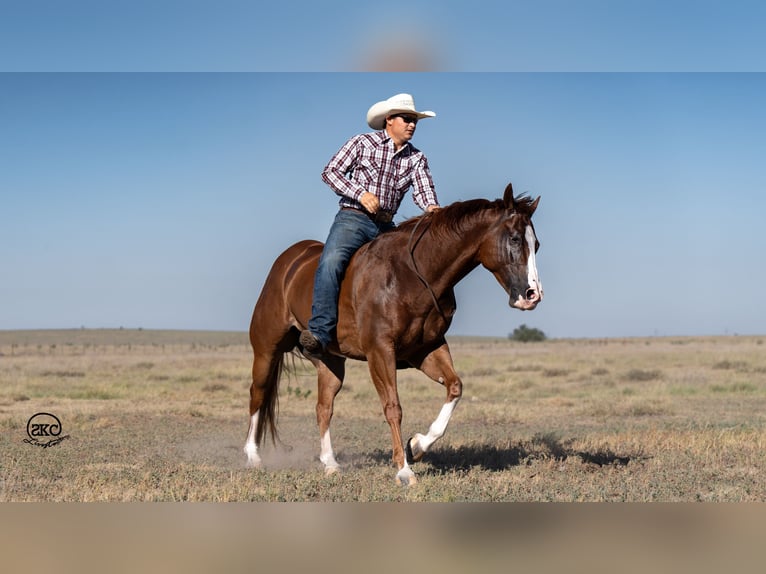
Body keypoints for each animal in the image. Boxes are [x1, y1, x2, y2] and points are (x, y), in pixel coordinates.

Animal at [243, 183, 544, 486]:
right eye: (515, 239)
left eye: (537, 244)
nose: (533, 295)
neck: (412, 275)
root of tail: (288, 261)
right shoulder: (380, 350)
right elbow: (393, 407)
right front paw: (404, 469)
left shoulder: (426, 349)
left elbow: (455, 387)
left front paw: (417, 446)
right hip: (267, 349)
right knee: (259, 393)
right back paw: (253, 457)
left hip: (330, 361)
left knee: (323, 407)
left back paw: (331, 464)